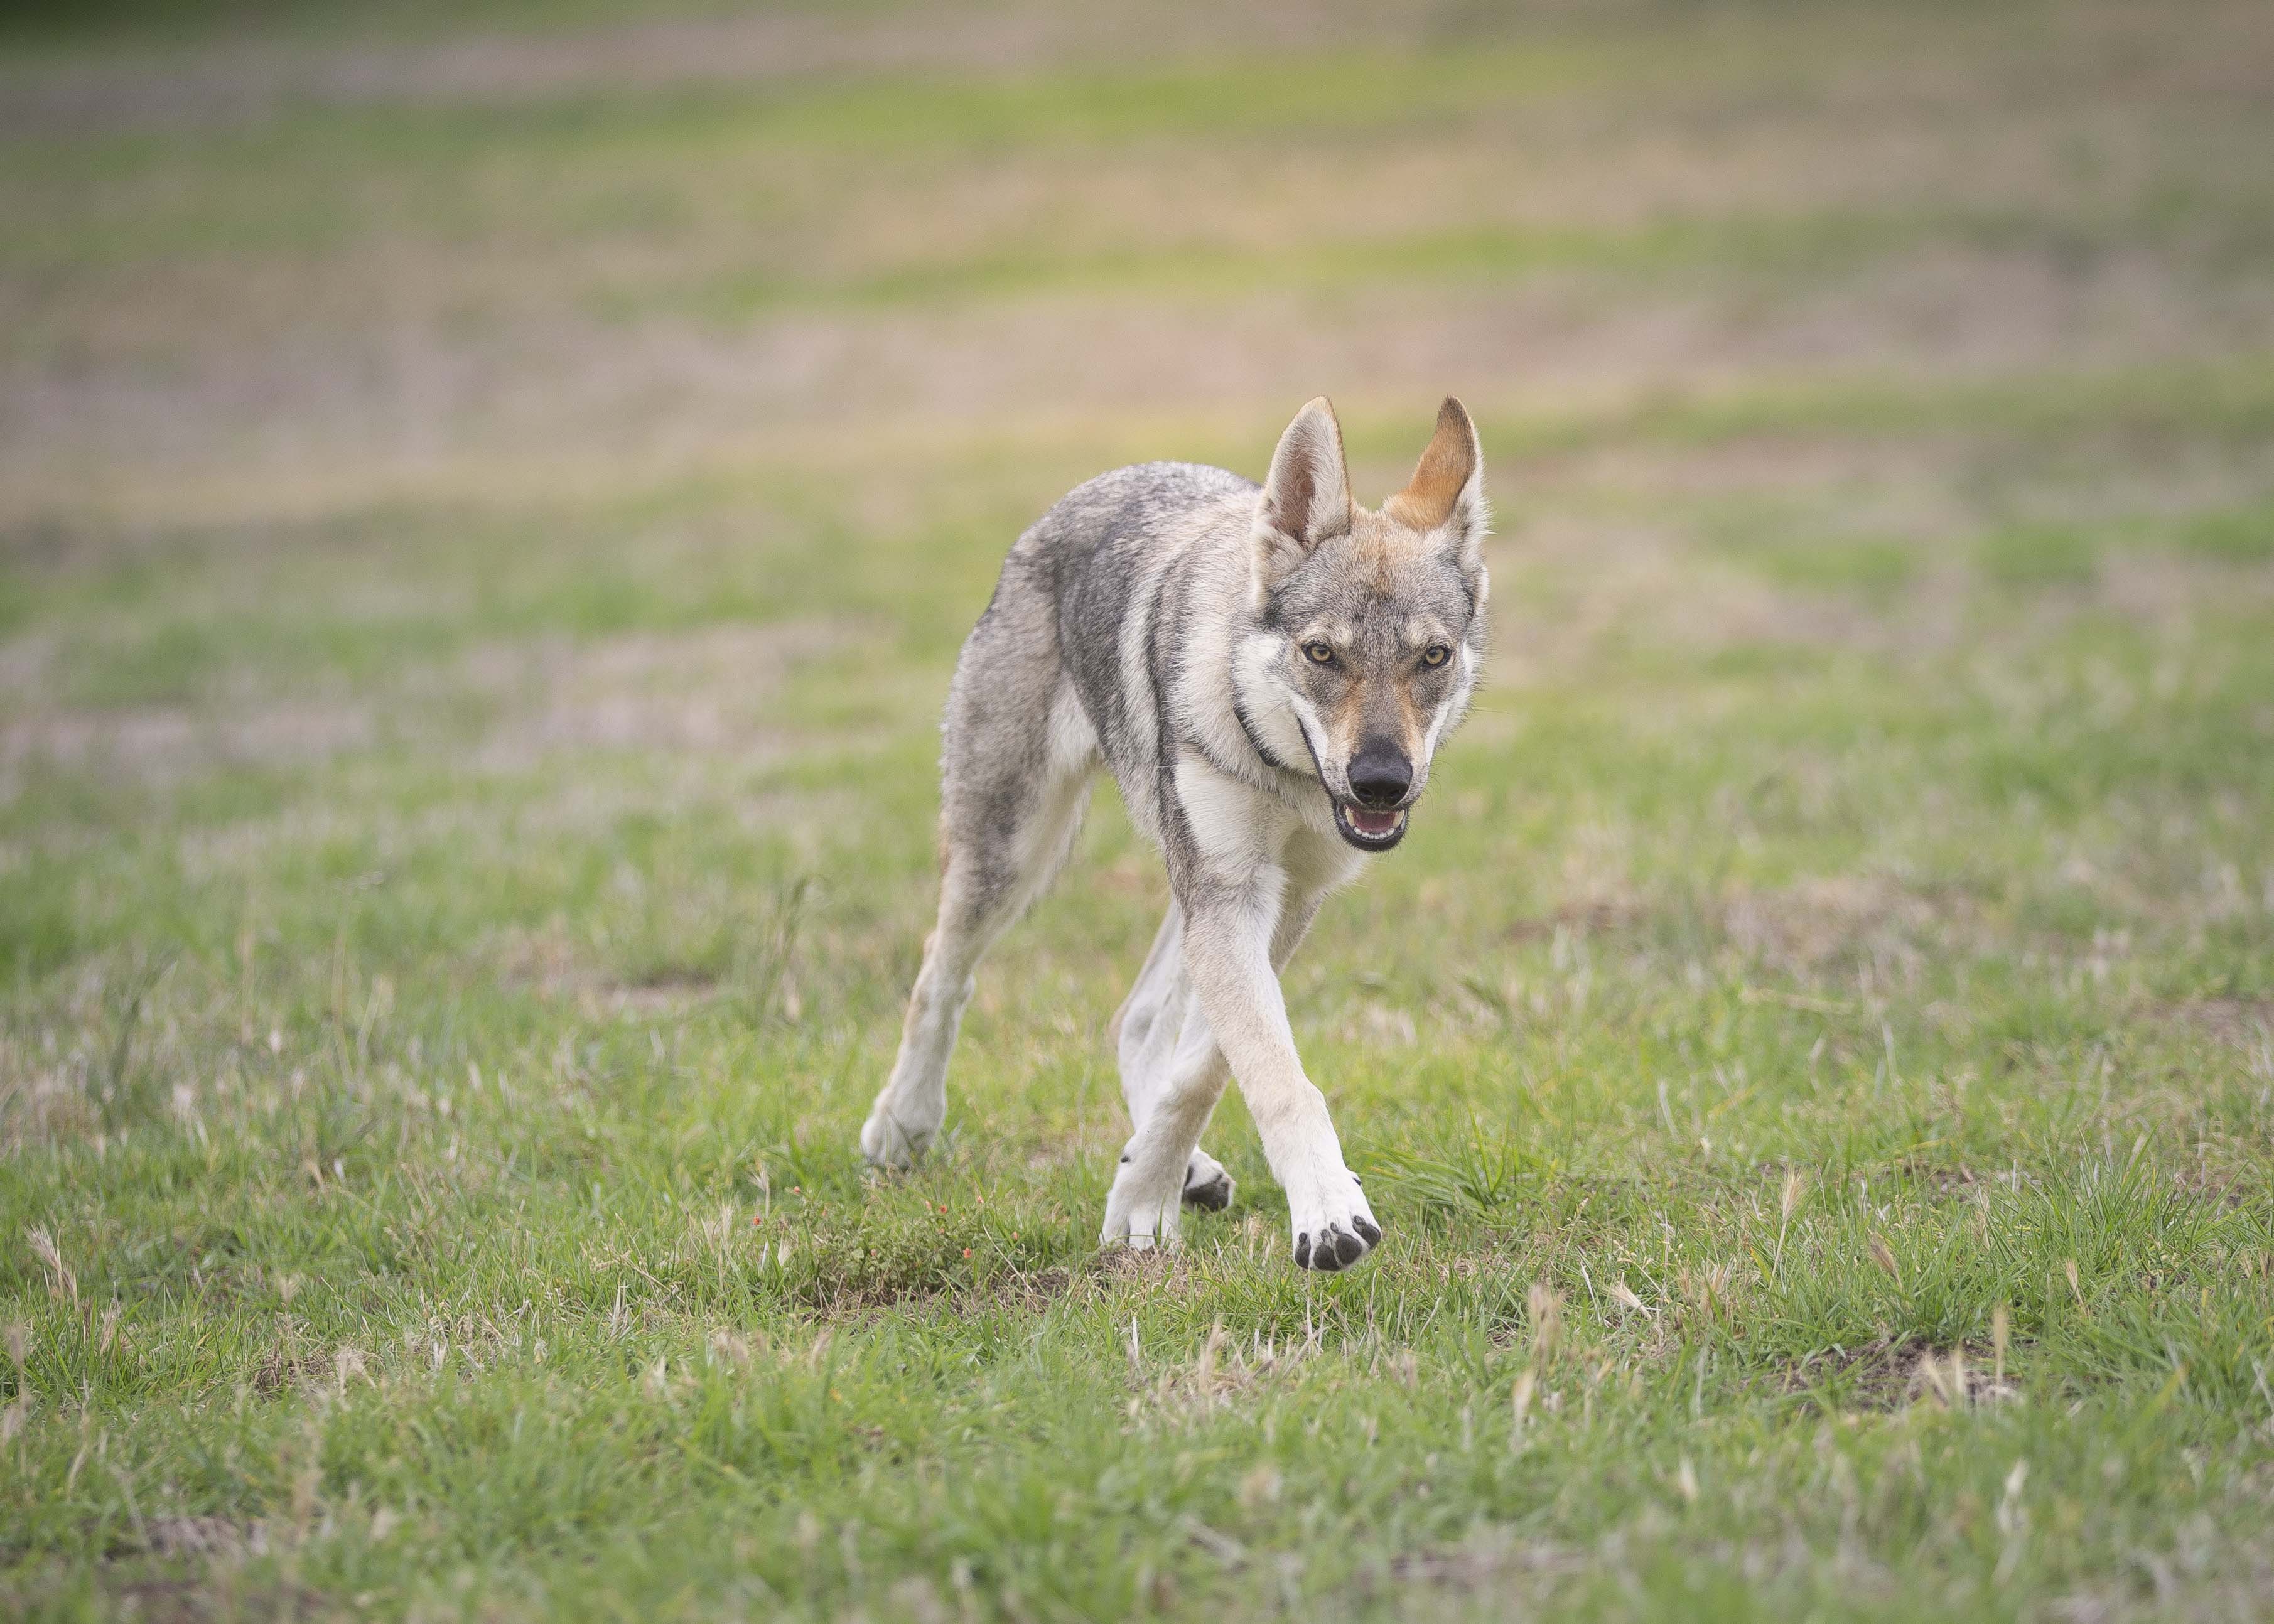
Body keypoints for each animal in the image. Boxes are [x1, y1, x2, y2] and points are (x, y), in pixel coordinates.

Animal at [860, 397, 1487, 1271]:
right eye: (1321, 653)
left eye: (1432, 656)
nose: (1380, 782)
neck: (1283, 772)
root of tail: (1101, 482)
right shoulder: (1229, 897)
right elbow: (1273, 1073)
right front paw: (1325, 1213)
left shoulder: (1284, 899)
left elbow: (1206, 1068)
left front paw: (1144, 1197)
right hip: (1013, 854)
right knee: (939, 975)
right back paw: (903, 1123)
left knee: (1137, 1018)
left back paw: (1181, 1166)